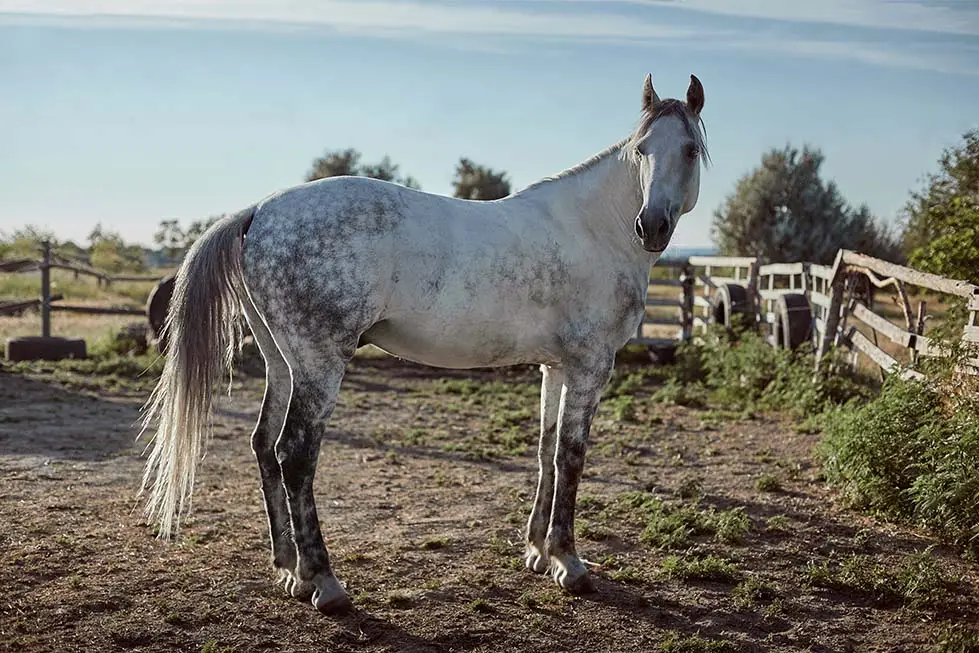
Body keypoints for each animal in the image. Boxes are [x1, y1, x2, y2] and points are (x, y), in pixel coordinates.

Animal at [139, 73, 710, 615]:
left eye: (687, 149)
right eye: (641, 150)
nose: (652, 226)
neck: (593, 229)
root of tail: (257, 211)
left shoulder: (557, 368)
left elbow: (546, 452)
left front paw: (537, 552)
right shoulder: (591, 366)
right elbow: (571, 456)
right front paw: (569, 564)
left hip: (283, 363)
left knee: (263, 445)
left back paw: (289, 570)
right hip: (318, 366)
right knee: (294, 453)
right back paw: (324, 582)